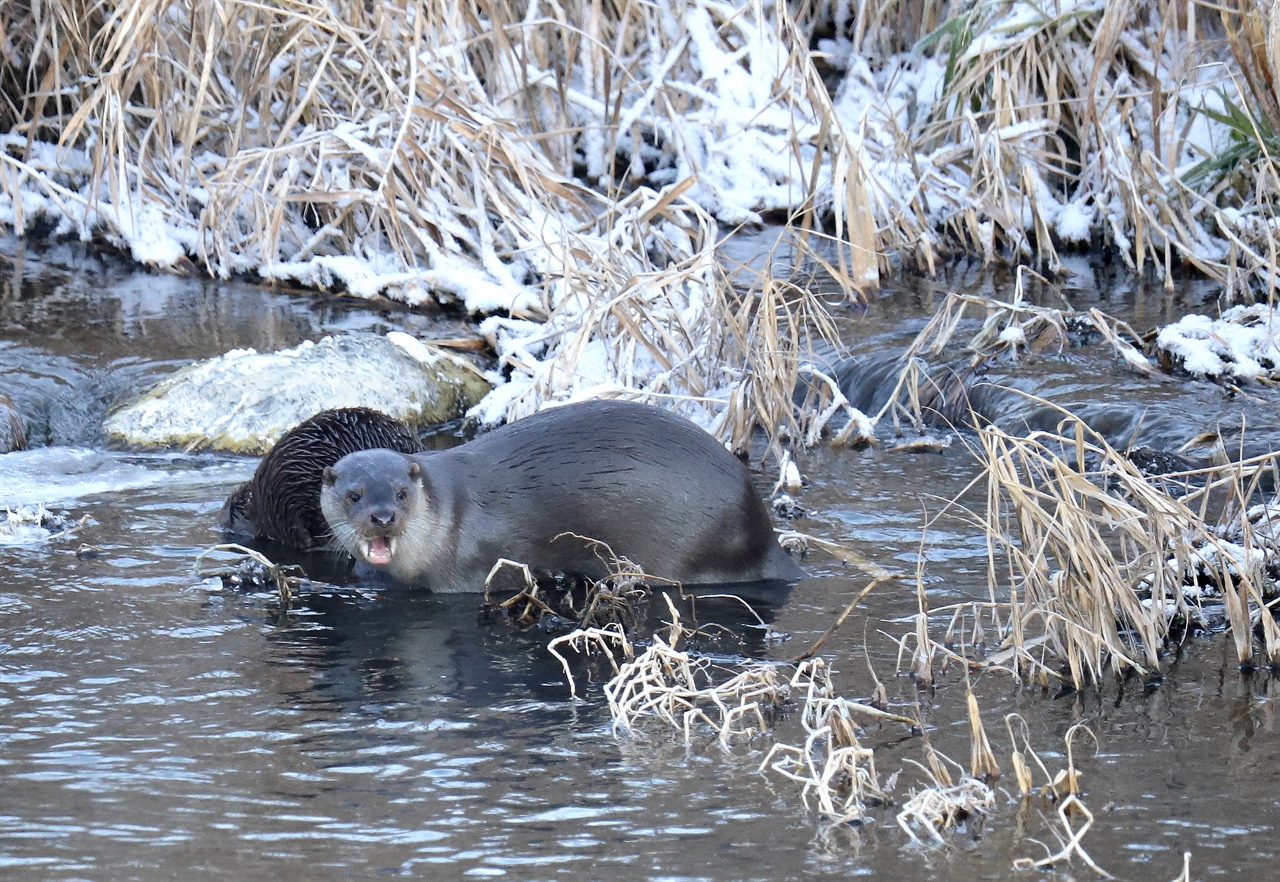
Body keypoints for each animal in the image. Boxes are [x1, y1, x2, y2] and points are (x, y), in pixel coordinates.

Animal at [320, 399, 798, 591]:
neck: (449, 517)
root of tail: (764, 537)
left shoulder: (472, 571)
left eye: (401, 493)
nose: (383, 516)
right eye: (354, 495)